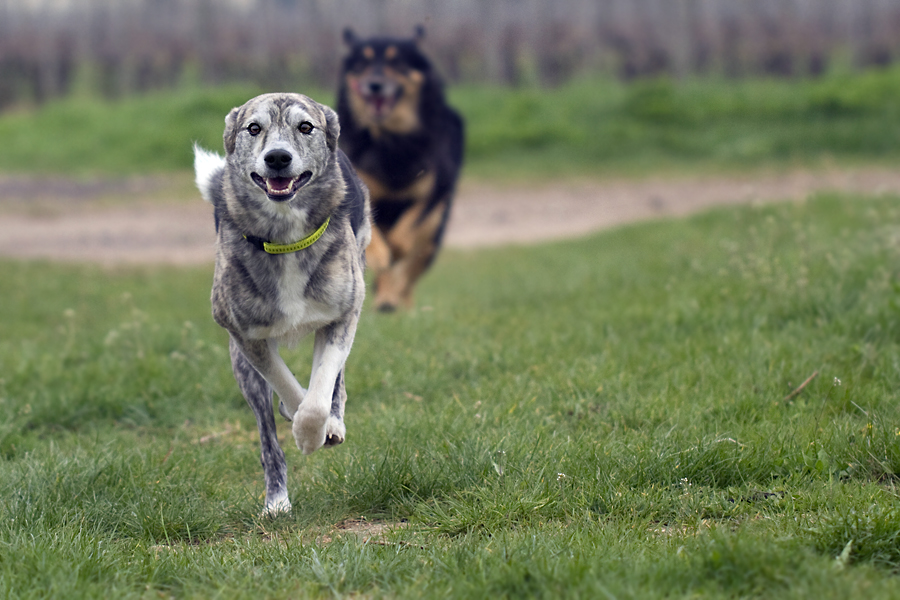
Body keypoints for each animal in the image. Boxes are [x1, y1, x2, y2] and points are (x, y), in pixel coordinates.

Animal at [192, 94, 370, 516]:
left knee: (336, 381)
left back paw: (333, 422)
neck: (285, 239)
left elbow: (321, 389)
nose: (276, 158)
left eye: (306, 127)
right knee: (267, 438)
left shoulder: (343, 314)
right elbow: (285, 382)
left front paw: (315, 430)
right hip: (242, 370)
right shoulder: (245, 337)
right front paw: (300, 420)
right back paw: (277, 499)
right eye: (253, 128)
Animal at [338, 25, 464, 312]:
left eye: (396, 62)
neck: (391, 141)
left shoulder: (433, 193)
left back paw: (399, 301)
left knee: (412, 266)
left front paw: (394, 252)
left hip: (435, 229)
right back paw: (385, 299)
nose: (374, 85)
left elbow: (404, 237)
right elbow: (377, 242)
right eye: (363, 63)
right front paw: (380, 255)